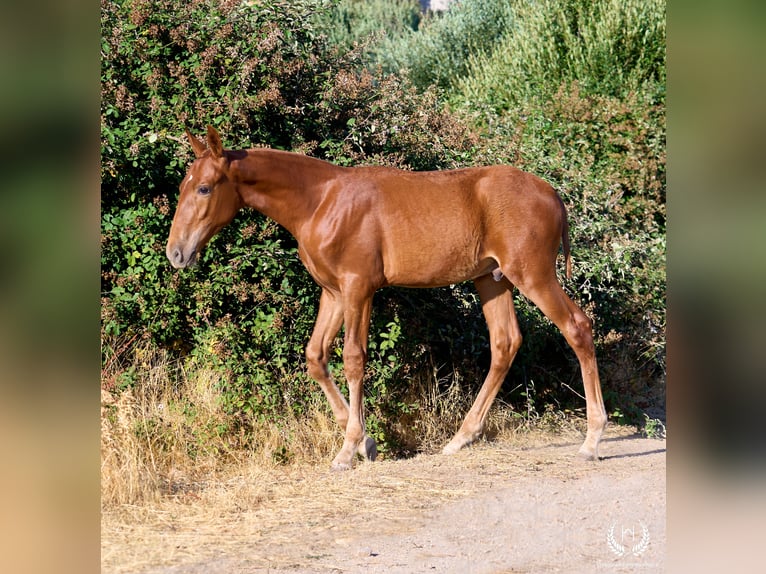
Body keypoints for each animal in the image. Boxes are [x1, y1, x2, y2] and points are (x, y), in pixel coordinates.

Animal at [166, 126, 607, 470]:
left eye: (204, 188)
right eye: (184, 186)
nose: (176, 253)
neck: (321, 202)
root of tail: (552, 194)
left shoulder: (358, 288)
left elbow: (353, 360)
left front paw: (349, 449)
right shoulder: (333, 293)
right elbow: (315, 357)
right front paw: (366, 443)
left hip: (533, 275)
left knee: (577, 327)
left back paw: (592, 438)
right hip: (492, 280)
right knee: (505, 343)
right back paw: (461, 437)